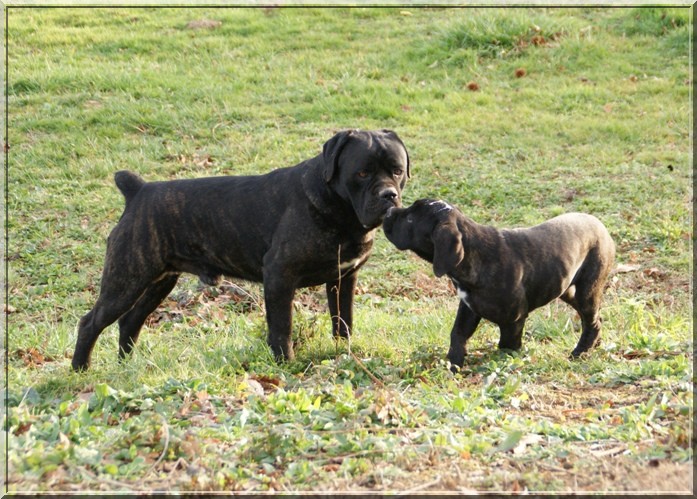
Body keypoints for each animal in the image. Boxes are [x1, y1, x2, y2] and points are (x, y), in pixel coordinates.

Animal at [72, 129, 408, 372]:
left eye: (397, 170)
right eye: (362, 173)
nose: (388, 195)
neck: (340, 208)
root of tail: (138, 190)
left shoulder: (343, 279)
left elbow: (343, 322)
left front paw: (343, 352)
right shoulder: (280, 277)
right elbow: (282, 328)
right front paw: (285, 364)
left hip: (157, 283)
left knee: (129, 322)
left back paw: (125, 366)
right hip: (125, 283)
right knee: (90, 323)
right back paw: (80, 370)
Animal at [380, 200, 616, 372]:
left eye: (410, 219)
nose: (389, 210)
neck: (473, 252)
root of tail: (600, 225)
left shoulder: (513, 320)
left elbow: (506, 346)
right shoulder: (468, 309)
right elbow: (457, 335)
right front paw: (453, 363)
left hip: (587, 291)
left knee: (591, 321)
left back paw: (580, 352)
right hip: (568, 290)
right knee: (595, 319)